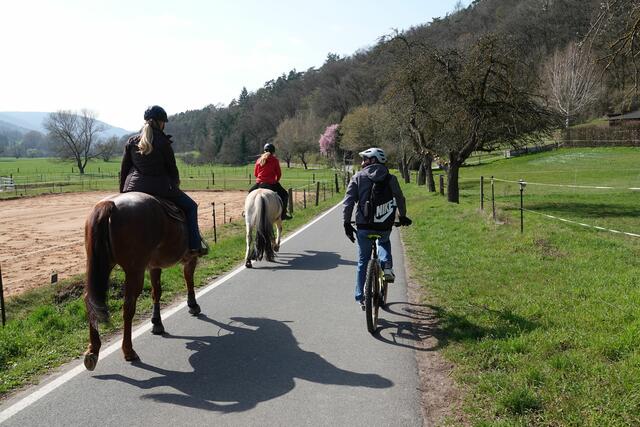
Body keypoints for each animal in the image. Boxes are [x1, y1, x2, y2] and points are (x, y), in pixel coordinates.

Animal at [82, 193, 201, 372]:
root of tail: (109, 204)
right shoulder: (190, 259)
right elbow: (189, 280)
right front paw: (193, 305)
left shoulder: (154, 266)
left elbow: (156, 292)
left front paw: (157, 323)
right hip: (134, 272)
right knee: (128, 307)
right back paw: (128, 350)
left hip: (101, 265)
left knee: (91, 300)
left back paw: (93, 351)